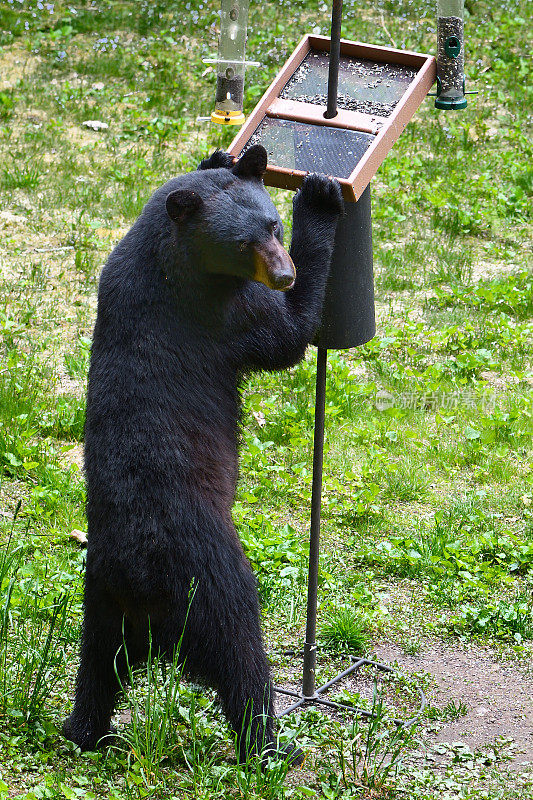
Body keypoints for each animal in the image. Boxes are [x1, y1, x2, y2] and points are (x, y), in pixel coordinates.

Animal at [62, 147, 342, 764]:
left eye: (272, 226)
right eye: (244, 243)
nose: (283, 273)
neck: (166, 257)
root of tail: (142, 576)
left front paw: (224, 155)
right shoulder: (221, 312)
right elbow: (286, 335)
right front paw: (319, 197)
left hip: (100, 602)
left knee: (98, 668)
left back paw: (84, 730)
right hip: (213, 582)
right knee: (241, 659)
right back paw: (272, 746)